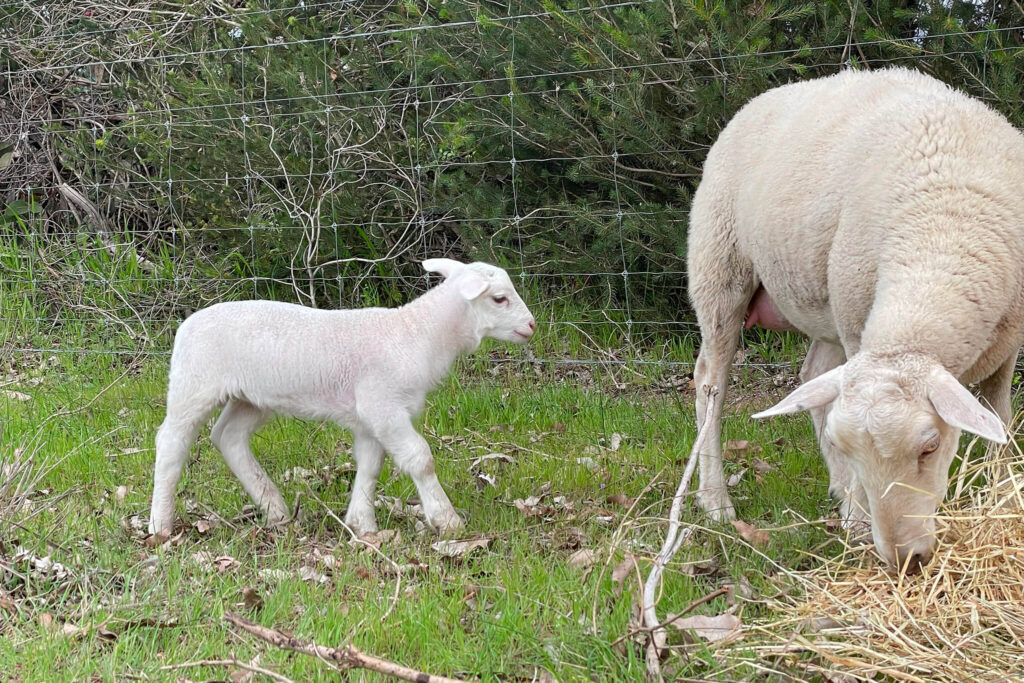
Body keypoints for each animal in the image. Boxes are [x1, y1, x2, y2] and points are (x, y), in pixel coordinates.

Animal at [149, 259, 540, 536]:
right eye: (499, 298)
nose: (532, 325)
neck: (417, 334)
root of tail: (186, 326)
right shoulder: (383, 406)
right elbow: (420, 459)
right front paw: (447, 520)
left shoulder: (370, 417)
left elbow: (370, 465)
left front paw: (362, 525)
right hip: (193, 384)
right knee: (172, 442)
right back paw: (160, 524)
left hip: (251, 397)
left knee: (228, 436)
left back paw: (276, 511)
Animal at [684, 68, 1024, 573]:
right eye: (849, 448)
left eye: (930, 447)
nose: (905, 559)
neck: (944, 221)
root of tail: (761, 98)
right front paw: (862, 519)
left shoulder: (1008, 344)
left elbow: (999, 419)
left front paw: (1005, 500)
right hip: (720, 266)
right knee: (711, 382)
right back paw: (717, 500)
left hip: (824, 297)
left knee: (814, 376)